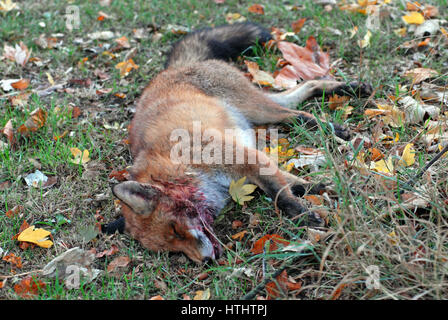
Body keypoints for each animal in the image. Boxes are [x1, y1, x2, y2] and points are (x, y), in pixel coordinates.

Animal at [103, 22, 372, 262]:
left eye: (175, 230)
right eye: (173, 251)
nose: (205, 261)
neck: (182, 170)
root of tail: (169, 71)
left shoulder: (243, 157)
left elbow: (280, 196)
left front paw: (305, 216)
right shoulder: (248, 168)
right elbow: (298, 185)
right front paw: (330, 189)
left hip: (255, 107)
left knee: (298, 108)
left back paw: (341, 111)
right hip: (260, 110)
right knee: (304, 91)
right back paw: (346, 94)